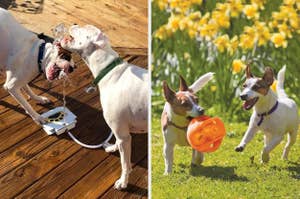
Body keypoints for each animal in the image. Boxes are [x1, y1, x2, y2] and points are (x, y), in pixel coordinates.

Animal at [60, 24, 148, 189]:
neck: (109, 71)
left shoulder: (124, 136)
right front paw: (112, 147)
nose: (74, 24)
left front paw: (123, 182)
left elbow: (125, 163)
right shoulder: (120, 134)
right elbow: (117, 143)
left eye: (84, 28)